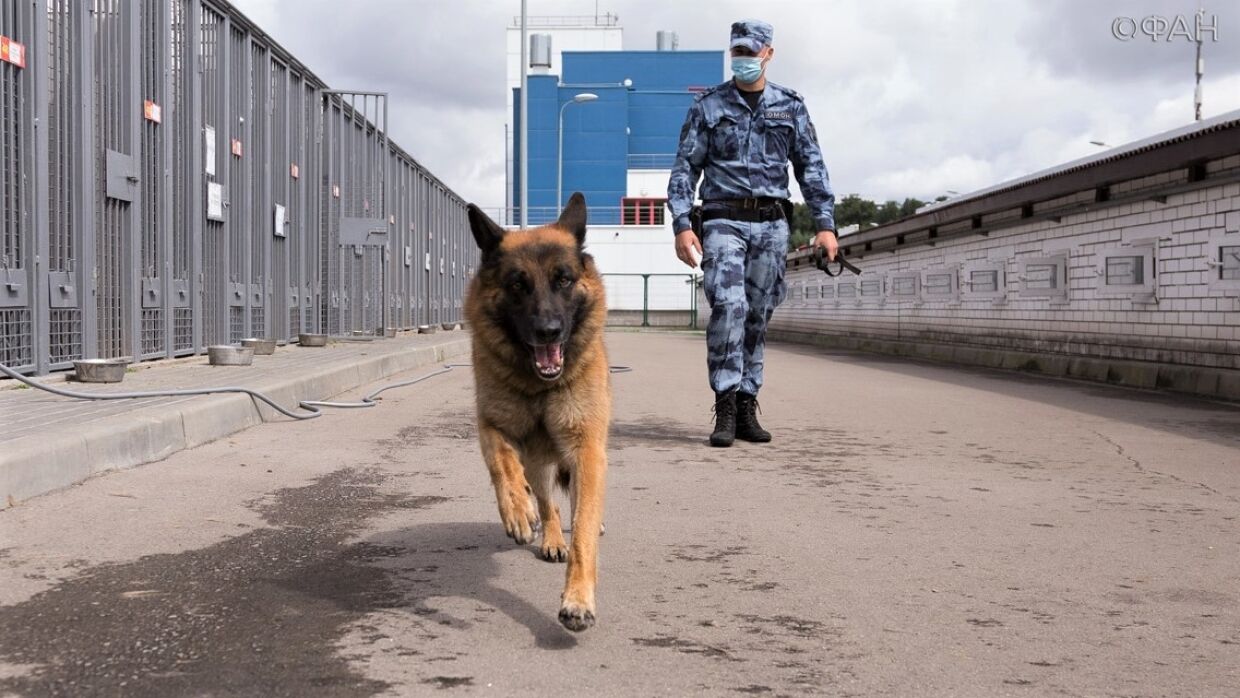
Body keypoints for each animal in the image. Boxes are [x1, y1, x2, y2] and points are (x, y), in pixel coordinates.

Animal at [461, 192, 610, 634]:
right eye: (517, 284)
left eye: (563, 280)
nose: (548, 331)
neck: (539, 387)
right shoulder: (491, 426)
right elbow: (502, 466)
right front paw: (517, 512)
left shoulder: (588, 450)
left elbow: (583, 531)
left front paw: (578, 599)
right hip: (539, 464)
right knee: (547, 501)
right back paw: (549, 534)